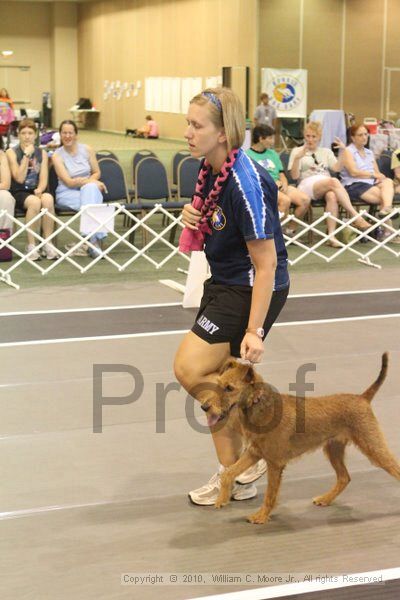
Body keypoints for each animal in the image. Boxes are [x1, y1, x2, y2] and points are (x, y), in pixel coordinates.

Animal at [203, 354, 400, 524]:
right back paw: (325, 499)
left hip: (373, 446)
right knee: (344, 477)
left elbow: (270, 494)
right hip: (333, 449)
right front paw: (222, 498)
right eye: (218, 384)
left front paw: (261, 516)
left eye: (229, 388)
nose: (205, 407)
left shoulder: (274, 463)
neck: (260, 406)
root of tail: (363, 398)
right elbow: (229, 472)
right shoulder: (254, 452)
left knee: (393, 468)